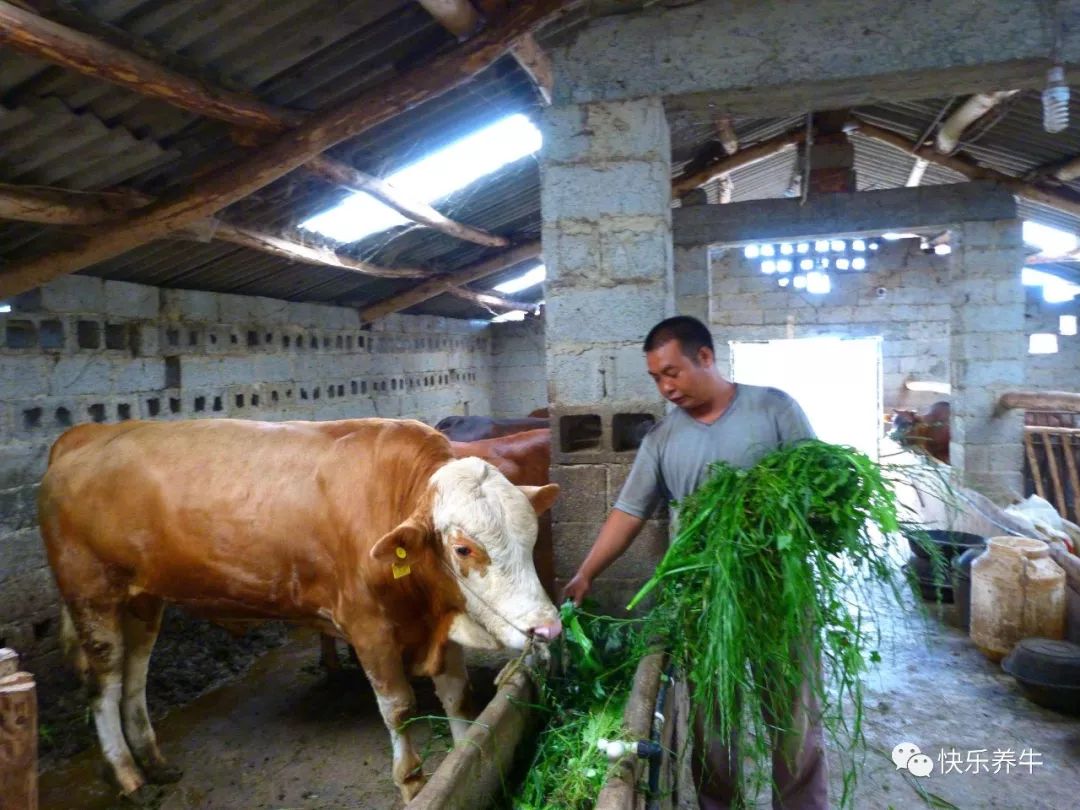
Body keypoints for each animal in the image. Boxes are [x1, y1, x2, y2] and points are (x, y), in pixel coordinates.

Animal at [38, 419, 561, 807]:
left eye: (533, 535)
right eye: (463, 548)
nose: (548, 627)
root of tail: (81, 435)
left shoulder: (436, 619)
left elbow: (456, 697)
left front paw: (462, 752)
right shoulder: (367, 627)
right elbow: (399, 708)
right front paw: (412, 783)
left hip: (143, 599)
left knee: (135, 676)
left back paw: (153, 760)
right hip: (91, 595)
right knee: (105, 685)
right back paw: (128, 774)